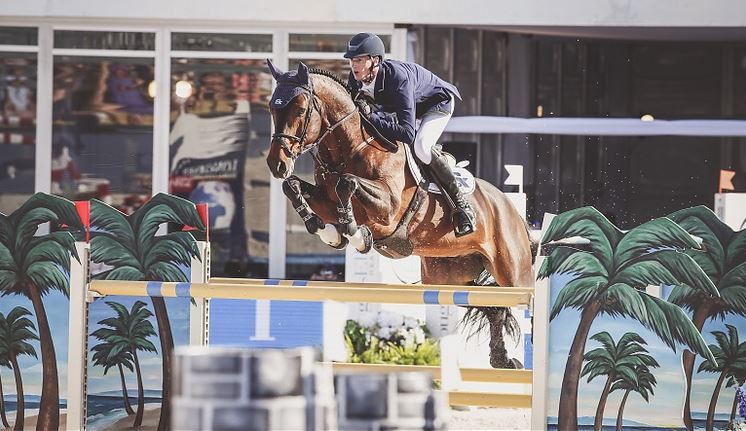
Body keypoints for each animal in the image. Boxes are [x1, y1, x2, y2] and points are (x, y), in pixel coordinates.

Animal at [264, 60, 532, 368]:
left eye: (300, 109)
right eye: (272, 108)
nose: (277, 164)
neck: (350, 149)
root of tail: (511, 209)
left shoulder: (389, 208)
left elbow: (348, 183)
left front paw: (355, 235)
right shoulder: (326, 200)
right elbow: (292, 187)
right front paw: (329, 232)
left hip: (514, 275)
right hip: (450, 280)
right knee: (494, 307)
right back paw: (502, 360)